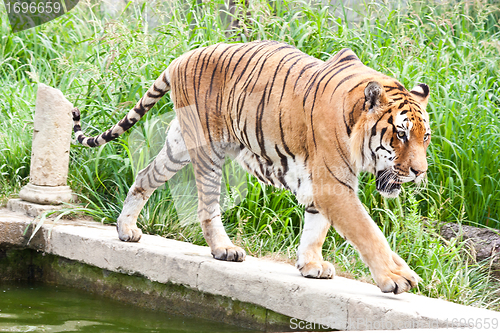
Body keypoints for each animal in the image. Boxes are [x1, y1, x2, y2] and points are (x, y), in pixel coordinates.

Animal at [72, 39, 432, 294]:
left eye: (425, 136)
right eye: (401, 134)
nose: (420, 172)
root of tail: (181, 58)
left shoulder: (319, 185)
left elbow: (316, 229)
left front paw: (311, 265)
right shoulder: (333, 185)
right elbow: (369, 233)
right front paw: (394, 277)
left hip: (178, 146)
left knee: (146, 175)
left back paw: (126, 229)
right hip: (207, 149)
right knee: (207, 207)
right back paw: (224, 248)